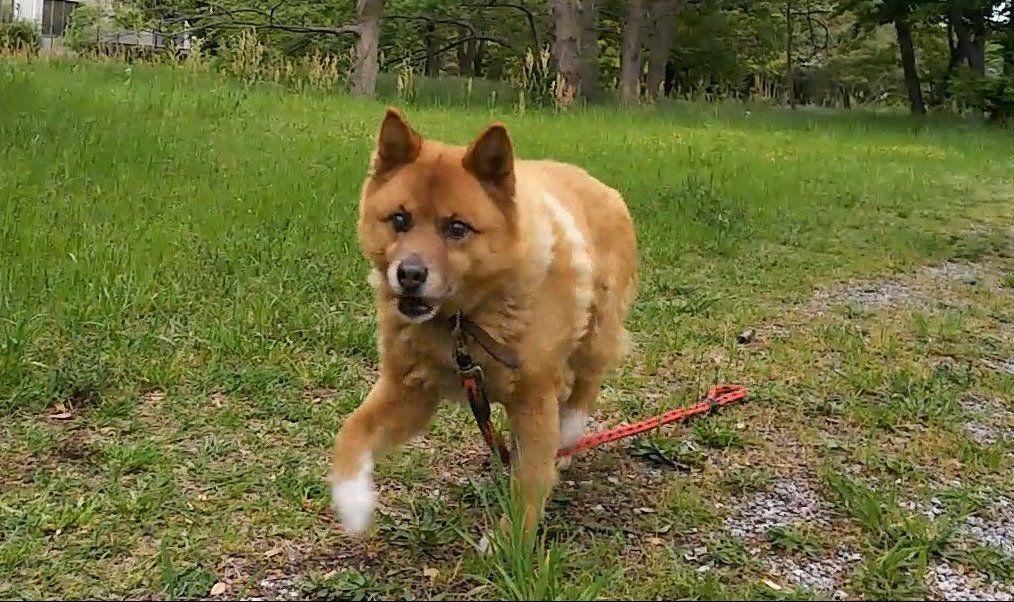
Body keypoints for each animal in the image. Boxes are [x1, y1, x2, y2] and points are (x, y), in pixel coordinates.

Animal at [328, 108, 637, 535]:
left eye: (457, 228)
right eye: (399, 219)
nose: (409, 274)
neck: (462, 323)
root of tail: (604, 187)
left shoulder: (533, 402)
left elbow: (530, 479)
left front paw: (513, 541)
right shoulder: (408, 392)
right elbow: (353, 430)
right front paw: (353, 503)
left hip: (596, 331)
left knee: (587, 383)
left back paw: (569, 433)